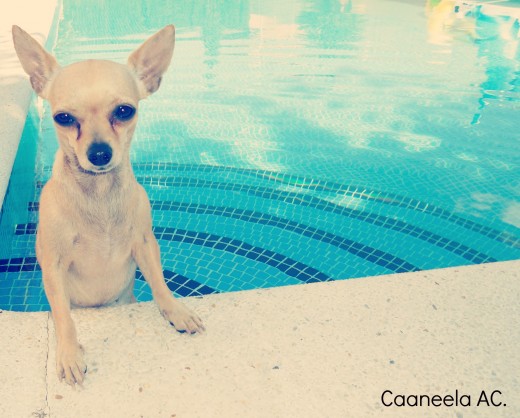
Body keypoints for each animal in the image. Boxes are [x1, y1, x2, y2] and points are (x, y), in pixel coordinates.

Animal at [11, 25, 203, 386]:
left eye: (125, 111)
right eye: (63, 118)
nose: (99, 153)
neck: (99, 195)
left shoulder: (144, 243)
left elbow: (159, 282)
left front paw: (175, 310)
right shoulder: (53, 264)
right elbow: (63, 316)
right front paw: (69, 354)